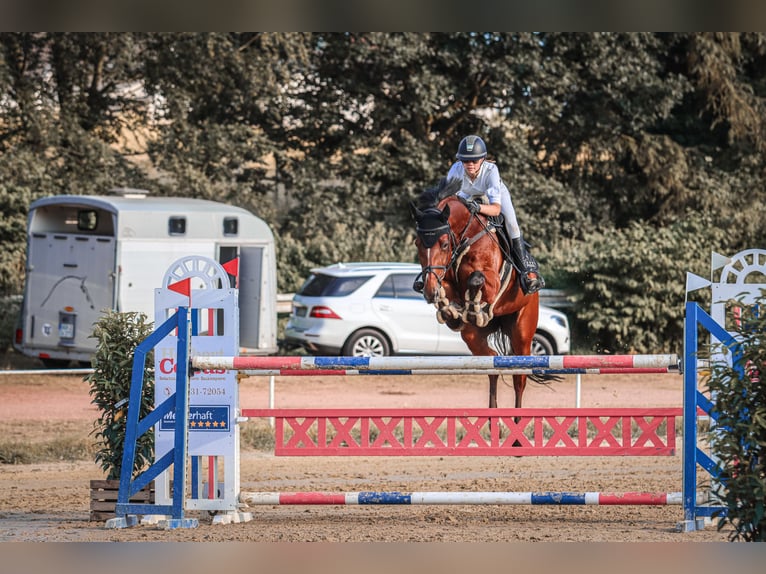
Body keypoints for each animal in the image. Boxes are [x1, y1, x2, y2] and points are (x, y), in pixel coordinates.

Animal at [414, 178, 544, 412]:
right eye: (417, 243)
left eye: (444, 244)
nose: (428, 290)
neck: (466, 237)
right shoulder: (446, 280)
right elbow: (447, 290)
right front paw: (450, 312)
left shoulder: (493, 283)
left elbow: (476, 279)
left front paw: (474, 308)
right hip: (473, 336)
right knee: (492, 363)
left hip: (522, 331)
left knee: (519, 379)